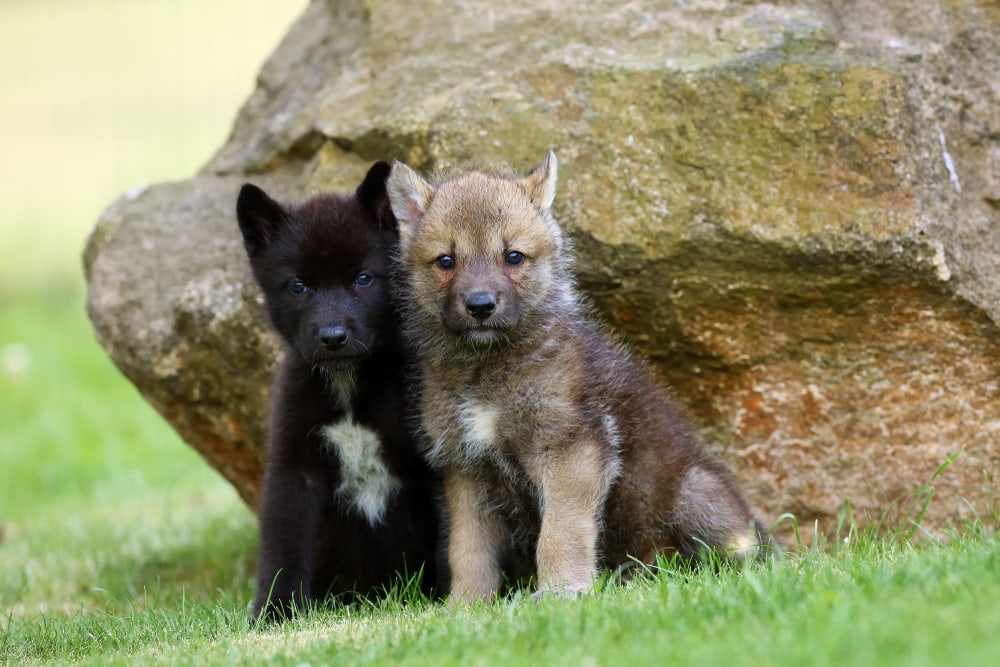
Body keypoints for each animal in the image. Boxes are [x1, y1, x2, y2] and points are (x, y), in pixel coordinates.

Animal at [236, 162, 441, 620]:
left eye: (363, 279)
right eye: (298, 286)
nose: (332, 337)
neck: (349, 387)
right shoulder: (295, 469)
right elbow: (283, 546)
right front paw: (276, 611)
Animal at [387, 152, 768, 604]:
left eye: (513, 257)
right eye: (446, 261)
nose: (480, 305)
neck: (487, 372)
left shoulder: (570, 450)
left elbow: (560, 533)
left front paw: (563, 592)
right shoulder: (467, 469)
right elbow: (468, 550)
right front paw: (466, 605)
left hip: (697, 492)